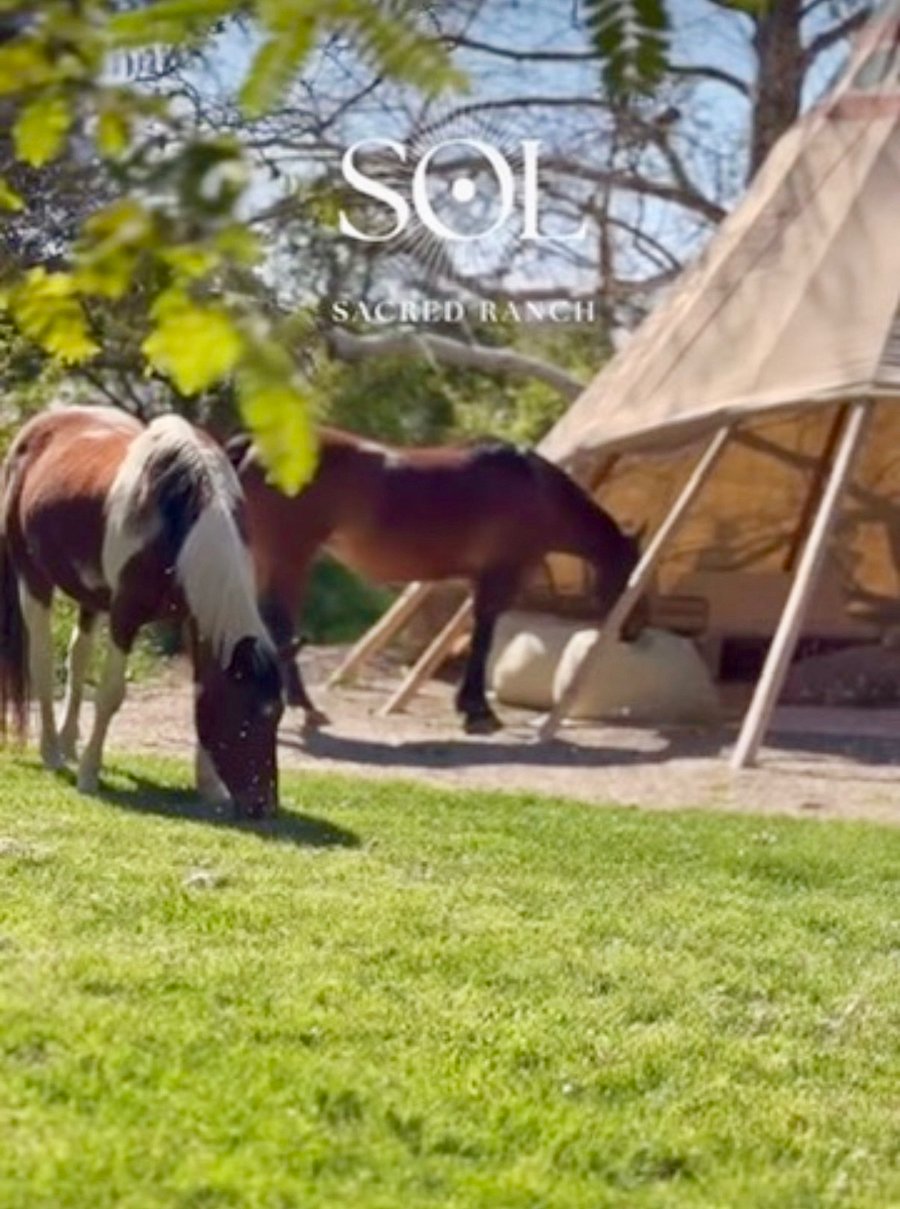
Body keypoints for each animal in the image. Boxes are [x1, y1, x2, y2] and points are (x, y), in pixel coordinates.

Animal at [0, 406, 283, 817]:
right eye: (246, 719)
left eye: (277, 716)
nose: (263, 805)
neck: (182, 519)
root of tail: (38, 425)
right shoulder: (125, 616)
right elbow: (110, 694)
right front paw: (89, 774)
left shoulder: (195, 621)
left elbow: (200, 691)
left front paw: (209, 786)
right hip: (34, 579)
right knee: (41, 660)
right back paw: (52, 752)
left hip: (89, 595)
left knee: (77, 657)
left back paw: (68, 745)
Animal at [228, 426, 641, 733]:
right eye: (632, 573)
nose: (632, 631)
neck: (536, 489)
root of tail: (253, 446)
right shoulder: (499, 576)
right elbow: (483, 637)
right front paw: (478, 711)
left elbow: (478, 633)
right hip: (290, 558)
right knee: (279, 622)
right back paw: (303, 707)